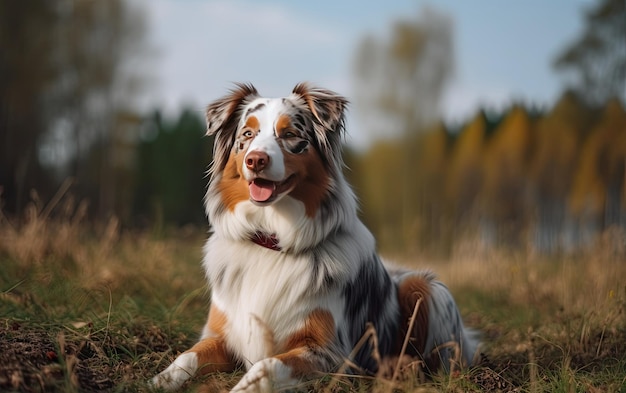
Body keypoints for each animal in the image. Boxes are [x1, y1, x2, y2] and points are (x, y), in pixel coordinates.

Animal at [151, 83, 478, 392]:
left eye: (290, 134)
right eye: (248, 133)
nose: (255, 160)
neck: (271, 238)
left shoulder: (330, 353)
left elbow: (266, 365)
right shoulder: (222, 335)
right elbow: (186, 357)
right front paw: (158, 381)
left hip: (427, 288)